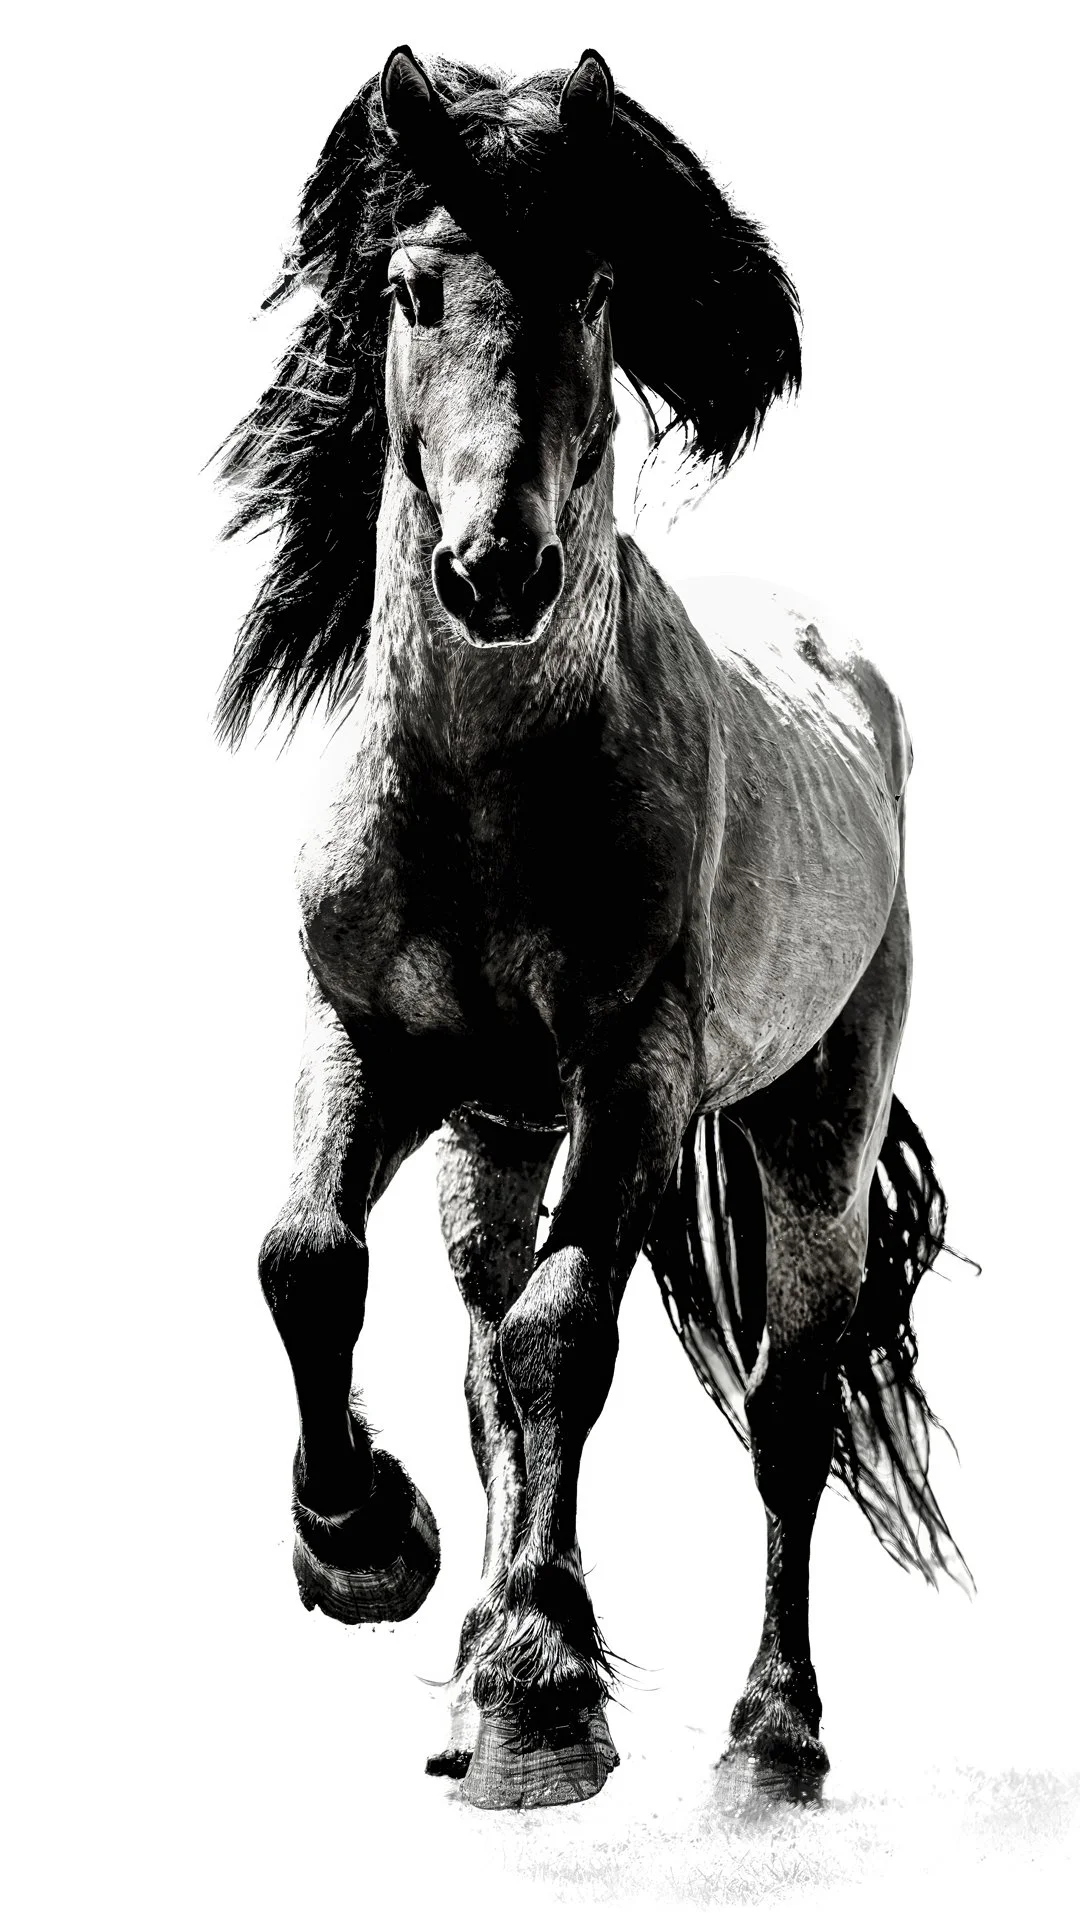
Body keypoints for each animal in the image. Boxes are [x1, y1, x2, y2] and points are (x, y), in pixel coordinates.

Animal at [216, 45, 966, 1811]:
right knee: (486, 1353)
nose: (499, 571)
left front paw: (547, 1701)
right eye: (414, 287)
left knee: (785, 1408)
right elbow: (310, 1261)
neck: (484, 796)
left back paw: (771, 1741)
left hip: (810, 1128)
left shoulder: (635, 1080)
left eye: (603, 287)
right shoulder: (366, 1043)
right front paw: (368, 1545)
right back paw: (479, 1654)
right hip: (496, 1135)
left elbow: (569, 1340)